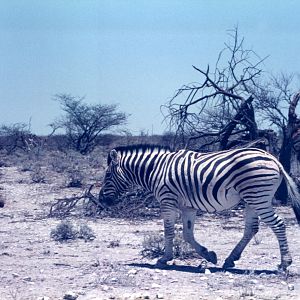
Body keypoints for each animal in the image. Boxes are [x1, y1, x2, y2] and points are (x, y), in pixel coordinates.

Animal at [99, 144, 300, 270]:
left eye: (107, 175)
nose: (101, 200)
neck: (156, 169)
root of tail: (273, 158)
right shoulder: (188, 207)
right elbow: (187, 234)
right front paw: (209, 255)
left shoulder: (167, 201)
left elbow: (169, 231)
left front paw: (164, 259)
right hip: (252, 199)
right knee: (252, 228)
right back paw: (230, 260)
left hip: (258, 196)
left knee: (278, 224)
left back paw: (284, 263)